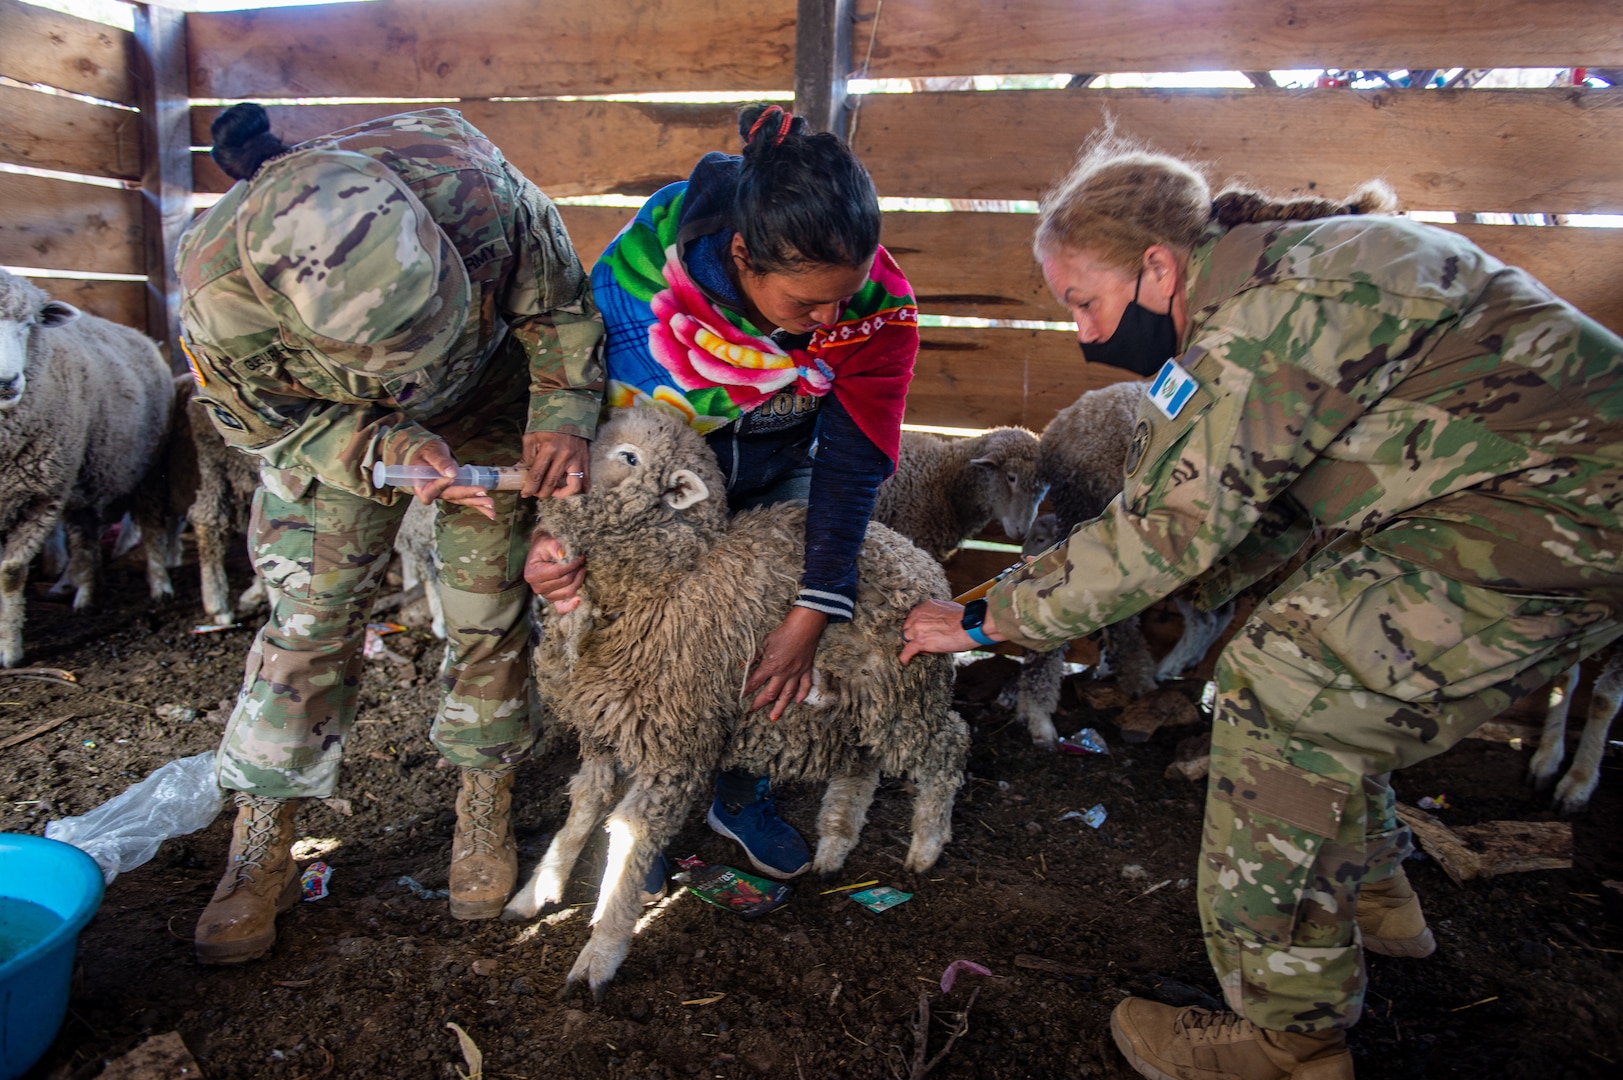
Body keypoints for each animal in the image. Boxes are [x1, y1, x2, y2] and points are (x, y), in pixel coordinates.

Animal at [0, 269, 173, 665]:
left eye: (28, 324)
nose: (6, 383)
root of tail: (141, 336)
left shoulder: (41, 497)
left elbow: (11, 572)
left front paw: (10, 653)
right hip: (86, 475)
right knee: (86, 533)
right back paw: (82, 588)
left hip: (145, 465)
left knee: (148, 525)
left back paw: (158, 586)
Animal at [499, 409, 967, 1000]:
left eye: (630, 456)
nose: (551, 465)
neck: (661, 581)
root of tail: (922, 561)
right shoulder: (602, 729)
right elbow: (584, 806)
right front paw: (538, 889)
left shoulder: (675, 746)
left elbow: (630, 842)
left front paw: (599, 955)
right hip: (855, 702)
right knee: (861, 766)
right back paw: (834, 846)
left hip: (904, 691)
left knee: (948, 746)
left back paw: (926, 846)